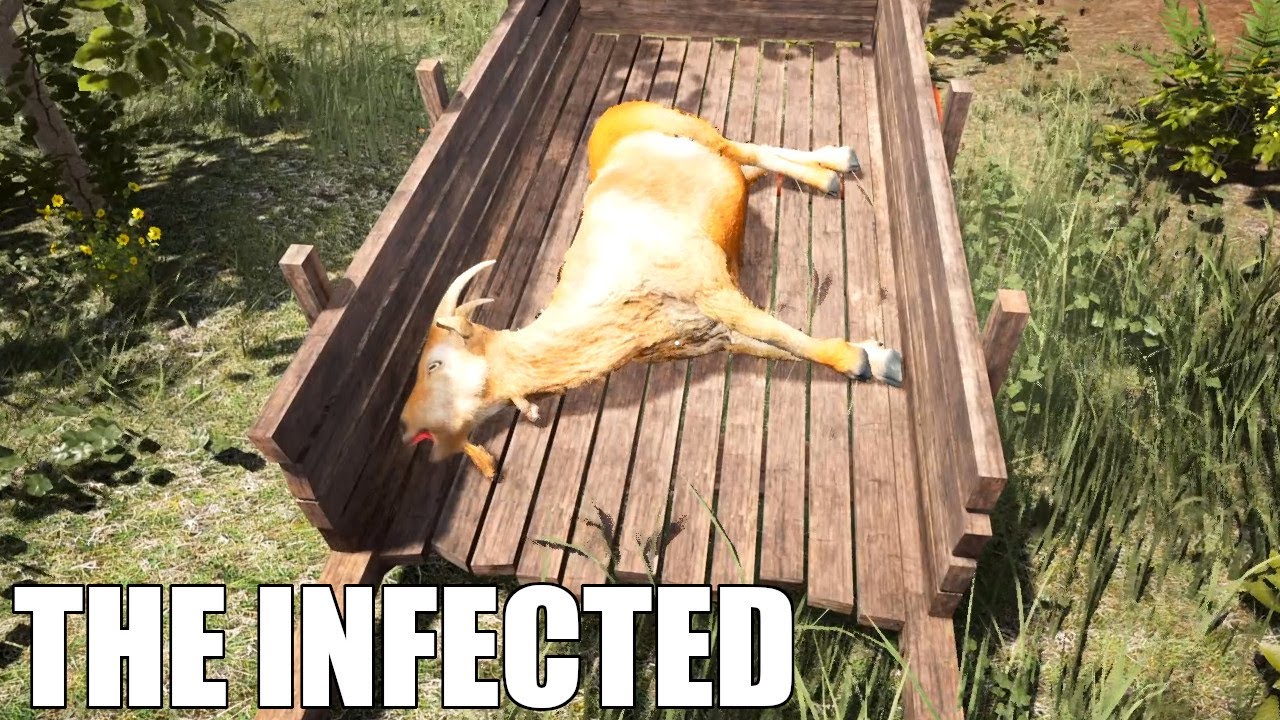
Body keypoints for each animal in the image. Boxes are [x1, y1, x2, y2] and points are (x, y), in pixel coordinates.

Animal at [399, 100, 903, 480]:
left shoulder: (711, 287)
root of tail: (612, 114)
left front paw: (865, 360)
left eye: (434, 364)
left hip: (692, 128)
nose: (407, 427)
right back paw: (830, 168)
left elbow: (784, 335)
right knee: (747, 165)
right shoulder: (713, 337)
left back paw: (835, 167)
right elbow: (775, 348)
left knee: (748, 148)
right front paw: (874, 357)